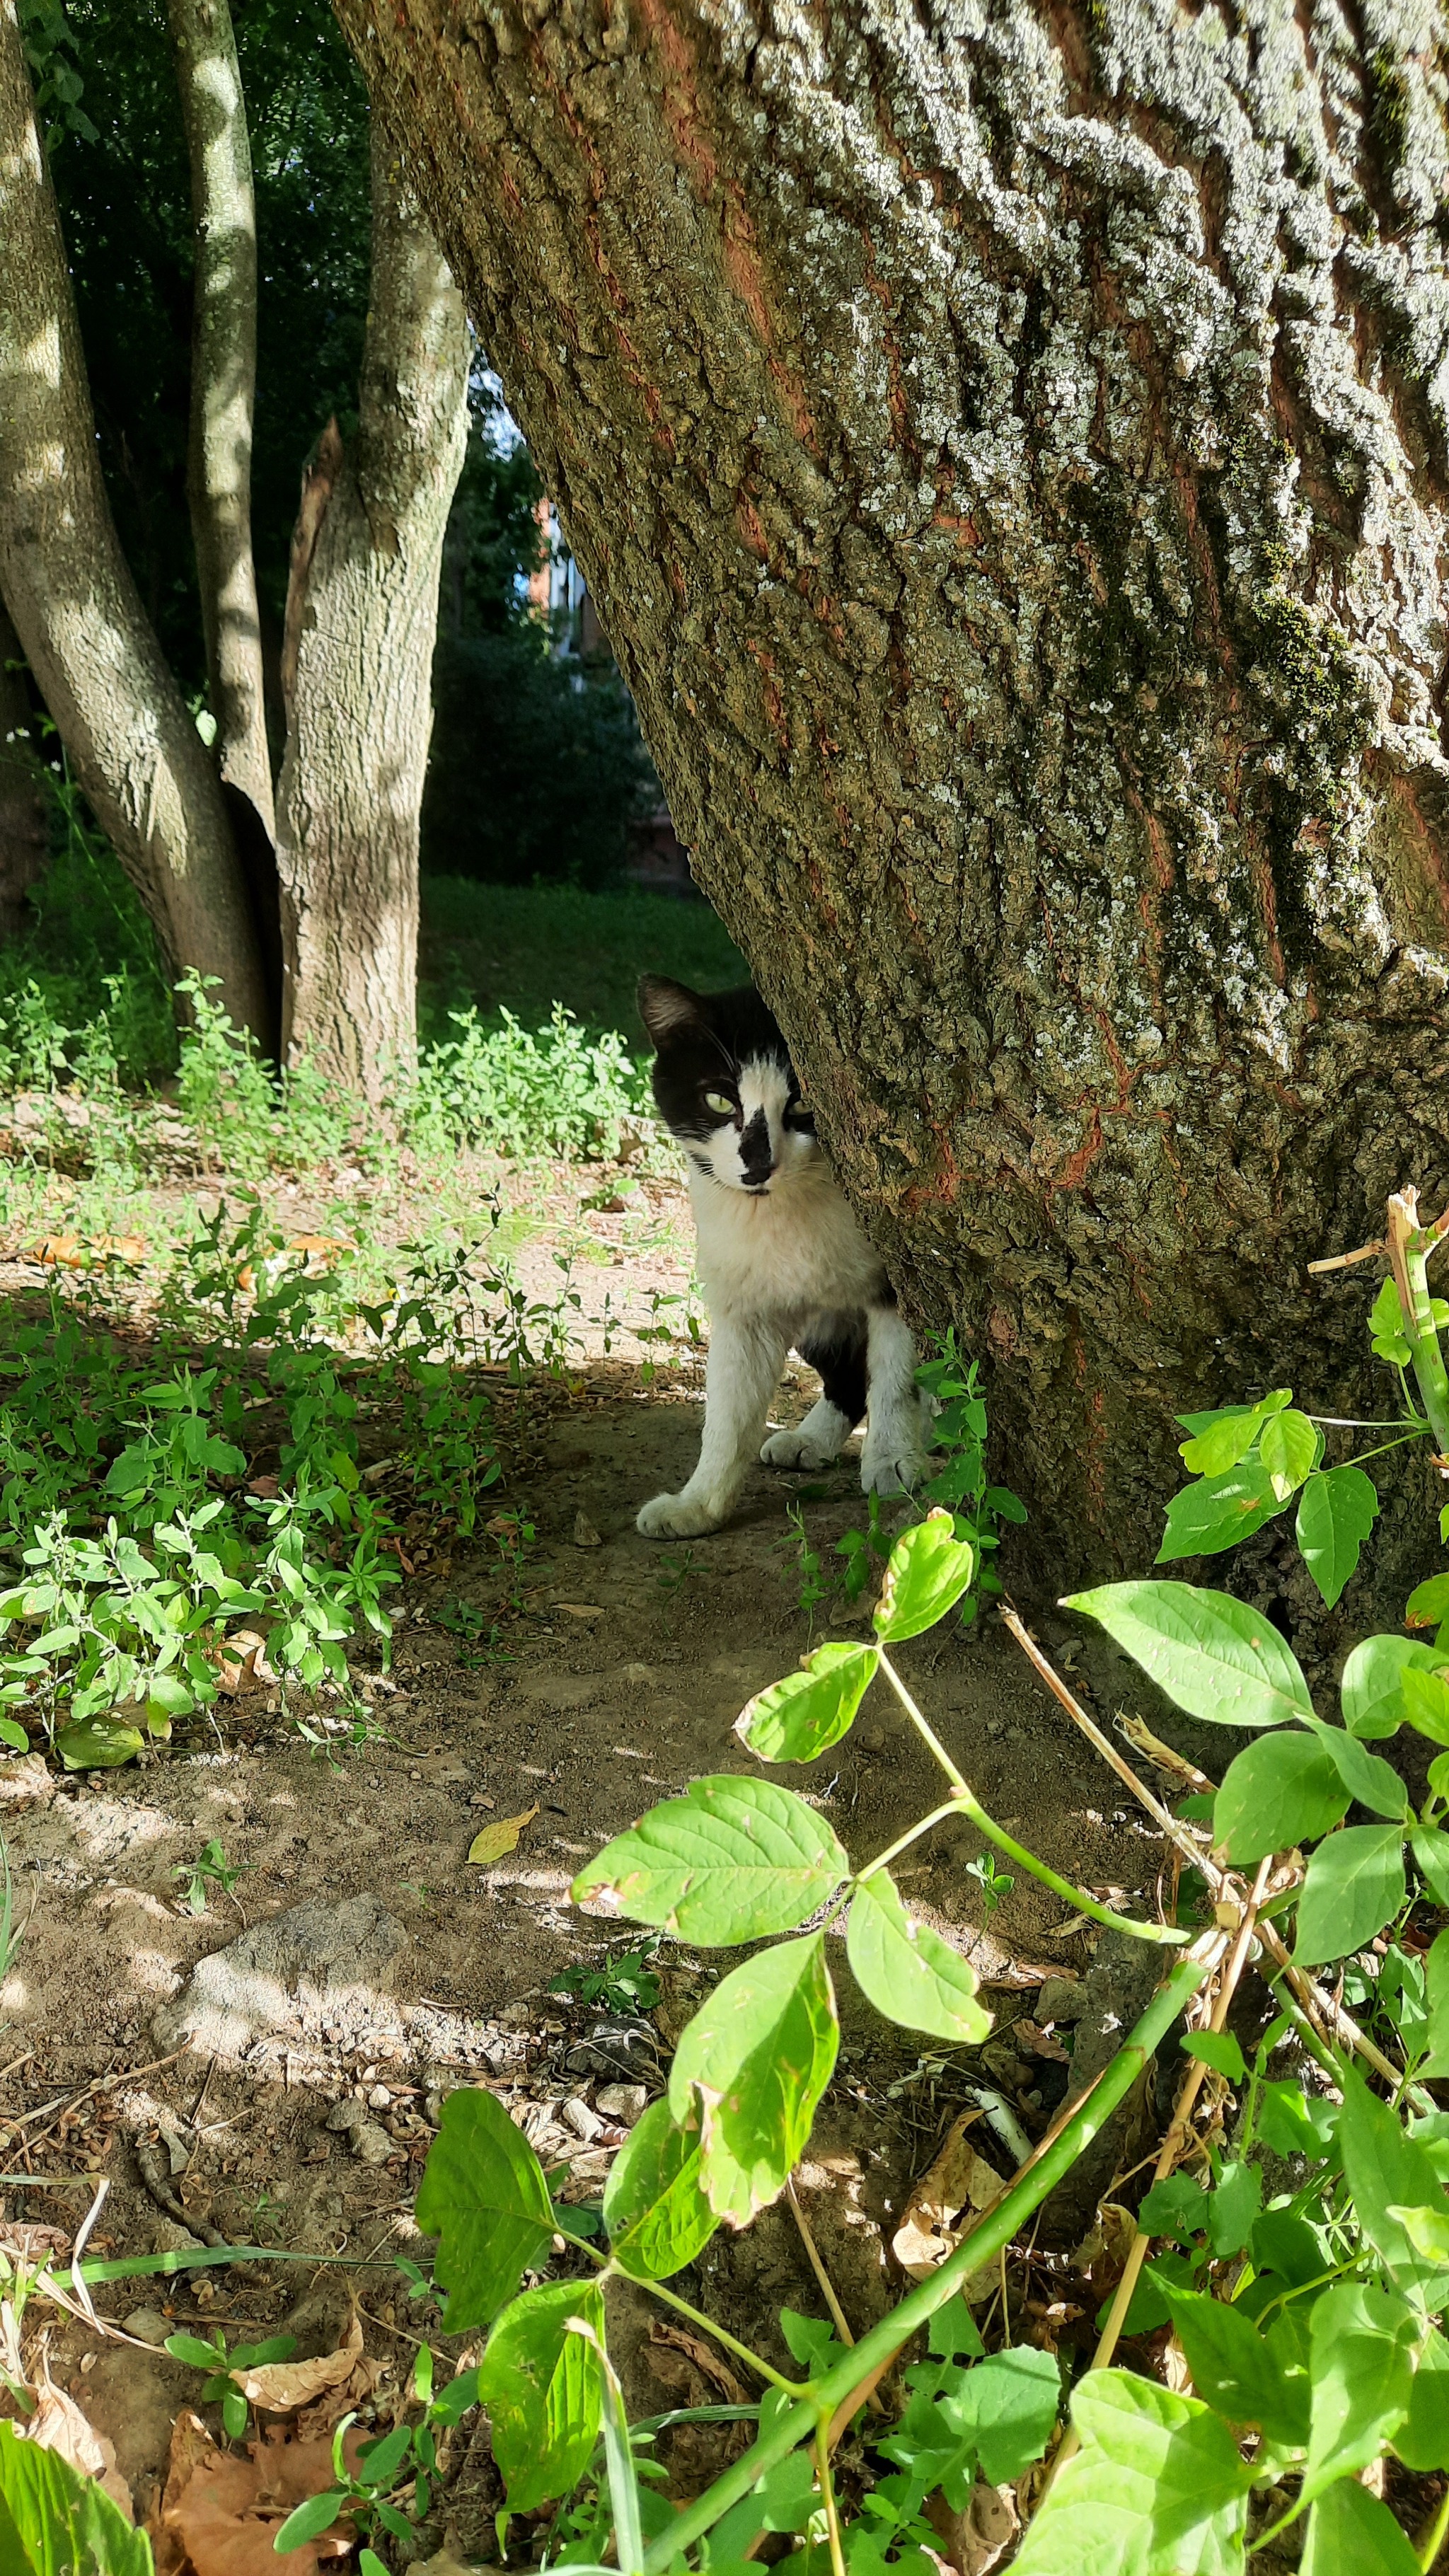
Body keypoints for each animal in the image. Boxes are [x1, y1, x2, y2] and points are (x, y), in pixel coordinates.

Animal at [631, 969, 923, 1525]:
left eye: (806, 1101)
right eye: (719, 1100)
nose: (758, 1165)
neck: (787, 1219)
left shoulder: (900, 1281)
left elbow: (898, 1377)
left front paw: (893, 1459)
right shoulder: (745, 1305)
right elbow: (727, 1414)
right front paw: (697, 1505)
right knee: (846, 1376)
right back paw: (811, 1439)